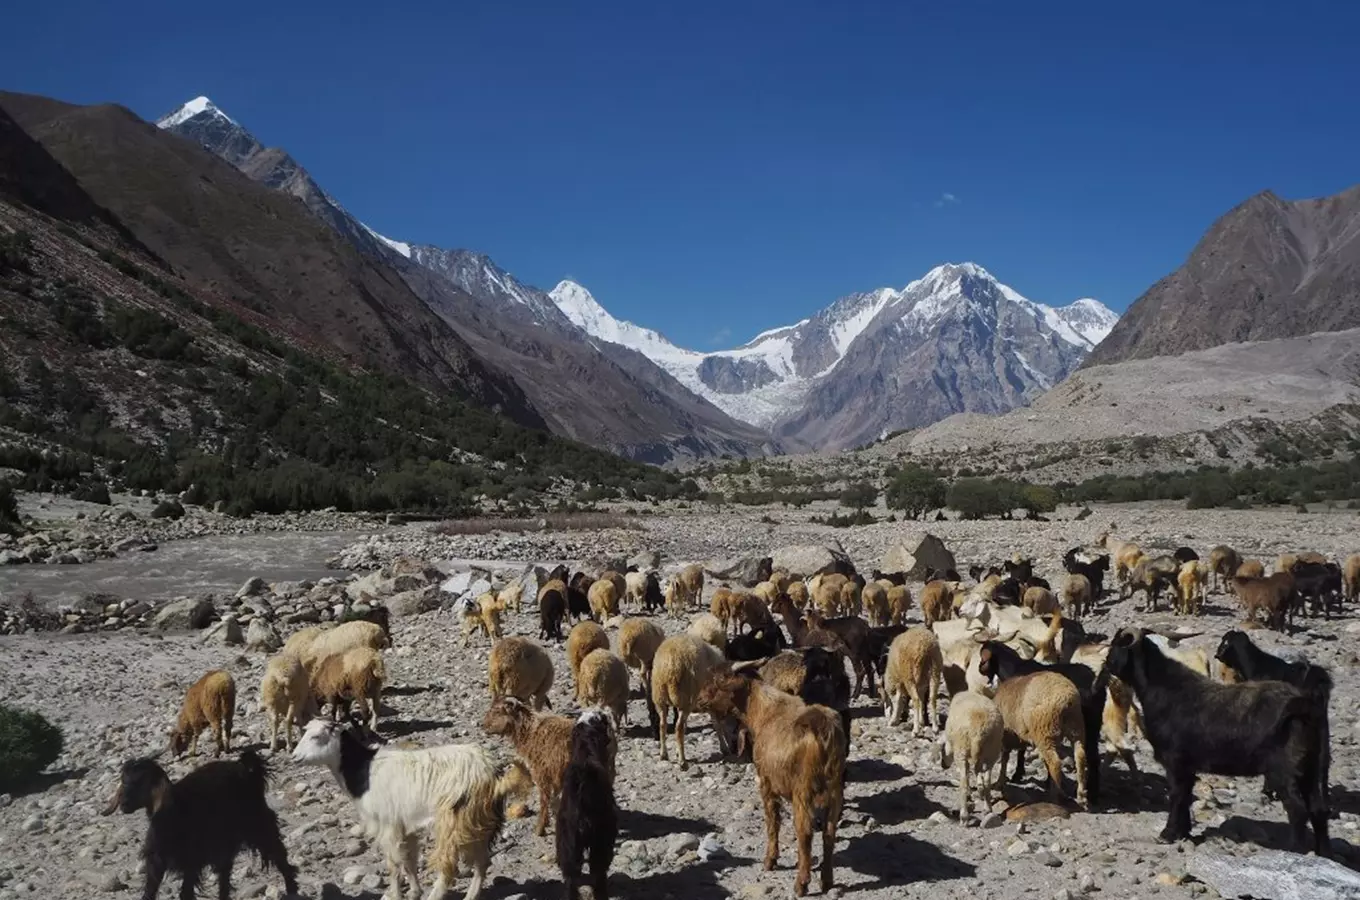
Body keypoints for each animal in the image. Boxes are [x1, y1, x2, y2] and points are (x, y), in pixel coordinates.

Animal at [102, 750, 299, 900]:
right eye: (124, 780)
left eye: (142, 781)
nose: (124, 804)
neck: (174, 812)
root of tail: (248, 771)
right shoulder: (157, 859)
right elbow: (150, 889)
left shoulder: (192, 859)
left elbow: (186, 892)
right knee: (225, 874)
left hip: (259, 825)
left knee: (279, 854)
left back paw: (292, 889)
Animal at [941, 690, 1006, 826]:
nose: (943, 765)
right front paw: (980, 791)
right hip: (992, 751)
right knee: (986, 780)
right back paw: (987, 808)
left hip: (962, 751)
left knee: (964, 783)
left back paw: (964, 817)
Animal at [979, 638, 1115, 804]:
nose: (979, 668)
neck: (1014, 668)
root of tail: (1093, 688)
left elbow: (1021, 750)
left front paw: (1018, 774)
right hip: (1088, 726)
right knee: (1090, 757)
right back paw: (1090, 794)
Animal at [1104, 628, 1327, 853]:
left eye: (1119, 644)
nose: (1106, 664)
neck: (1162, 688)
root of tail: (1303, 706)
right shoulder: (1187, 766)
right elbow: (1185, 796)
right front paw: (1183, 832)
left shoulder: (1175, 762)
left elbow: (1177, 795)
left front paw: (1168, 834)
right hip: (1309, 768)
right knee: (1317, 809)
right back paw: (1321, 850)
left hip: (1284, 770)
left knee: (1298, 809)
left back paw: (1294, 849)